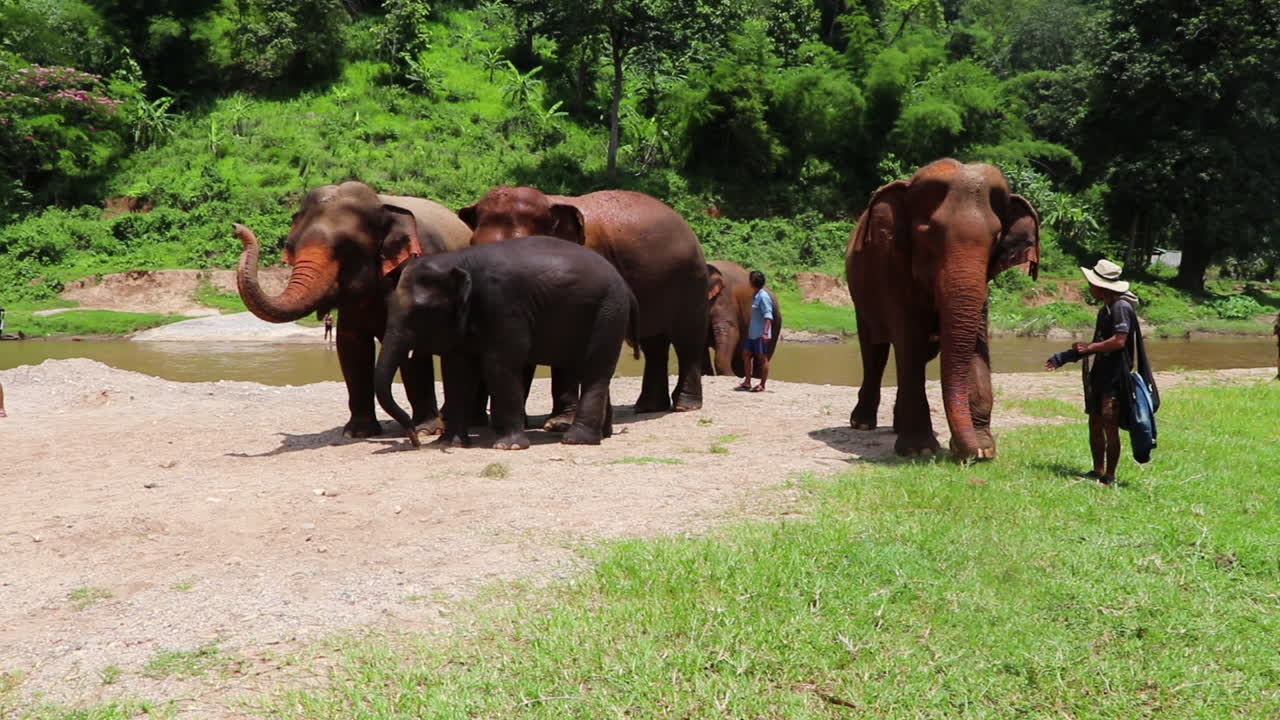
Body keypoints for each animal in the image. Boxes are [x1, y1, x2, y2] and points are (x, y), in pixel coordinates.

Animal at [235, 180, 471, 438]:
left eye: (347, 248)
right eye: (291, 246)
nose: (236, 228)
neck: (382, 204)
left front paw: (426, 431)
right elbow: (351, 345)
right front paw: (358, 432)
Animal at [374, 236, 638, 450]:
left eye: (421, 312)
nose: (416, 441)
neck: (457, 260)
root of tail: (625, 285)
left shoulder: (503, 305)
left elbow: (499, 365)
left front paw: (507, 447)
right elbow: (457, 371)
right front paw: (450, 443)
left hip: (609, 311)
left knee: (595, 370)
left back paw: (576, 440)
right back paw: (604, 434)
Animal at [457, 186, 707, 423]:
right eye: (472, 244)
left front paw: (559, 422)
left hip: (692, 279)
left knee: (687, 338)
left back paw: (684, 405)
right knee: (654, 343)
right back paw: (648, 407)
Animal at [846, 158, 1040, 460]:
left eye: (996, 237)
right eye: (930, 234)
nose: (965, 453)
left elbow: (974, 341)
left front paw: (984, 449)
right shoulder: (893, 269)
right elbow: (909, 339)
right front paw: (919, 450)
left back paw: (896, 426)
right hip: (862, 295)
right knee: (875, 349)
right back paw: (863, 424)